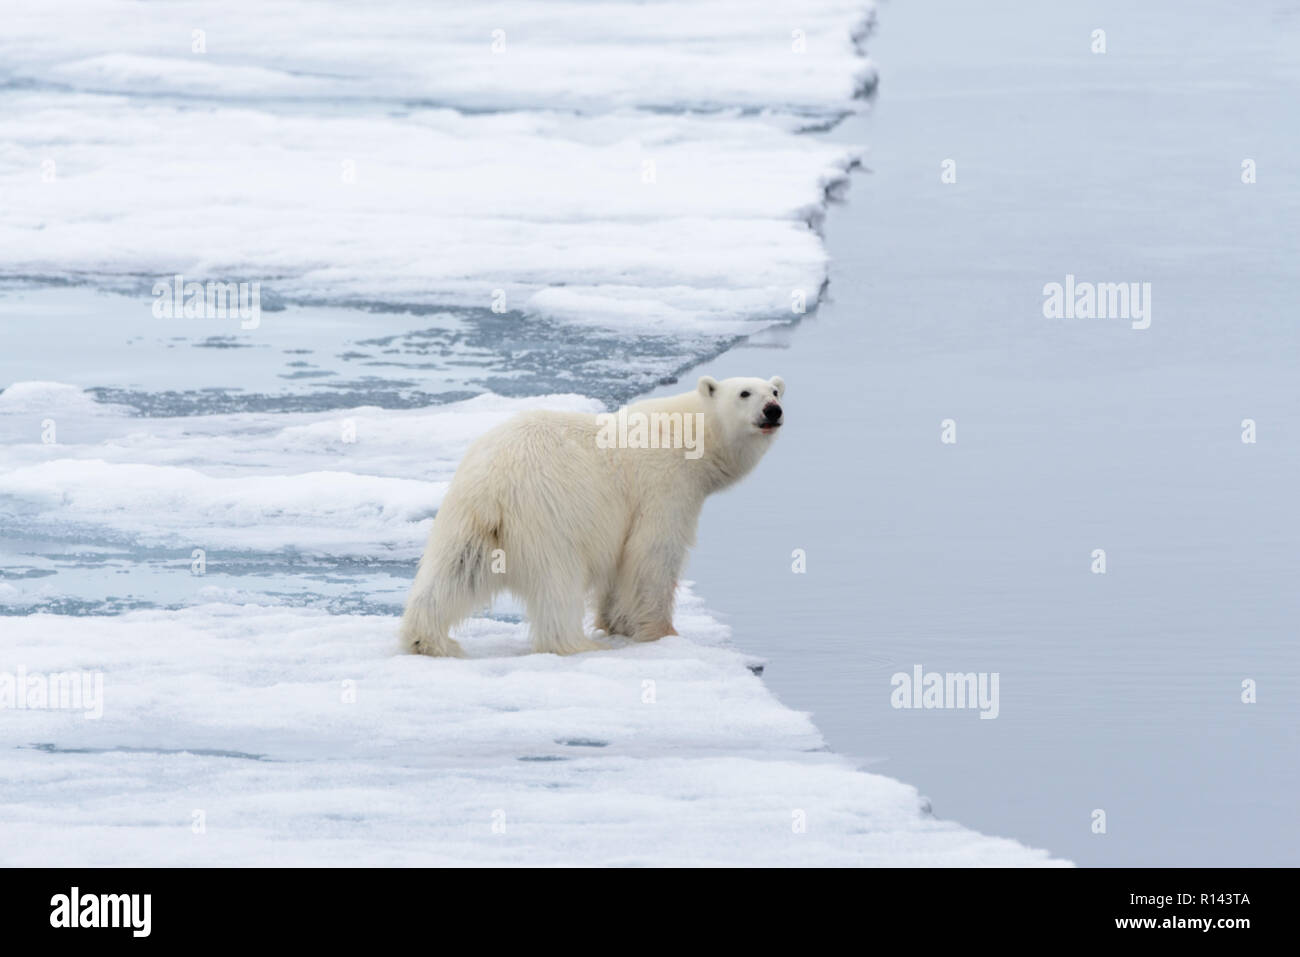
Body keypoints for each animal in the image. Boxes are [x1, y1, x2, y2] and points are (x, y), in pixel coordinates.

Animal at [397, 374, 780, 657]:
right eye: (745, 393)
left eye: (775, 390)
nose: (773, 410)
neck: (688, 435)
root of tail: (492, 484)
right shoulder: (663, 485)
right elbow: (651, 554)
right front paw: (662, 633)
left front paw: (616, 623)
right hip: (550, 512)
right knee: (558, 581)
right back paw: (578, 645)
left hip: (466, 518)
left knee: (453, 571)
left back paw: (427, 639)